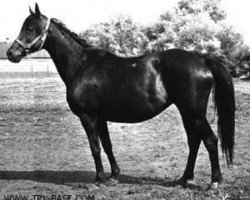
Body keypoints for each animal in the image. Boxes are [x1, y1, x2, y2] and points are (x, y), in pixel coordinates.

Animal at [6, 3, 235, 188]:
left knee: (210, 140)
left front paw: (99, 180)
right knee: (194, 142)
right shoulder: (100, 117)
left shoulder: (88, 117)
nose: (11, 53)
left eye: (30, 28)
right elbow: (107, 146)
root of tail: (202, 59)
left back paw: (214, 182)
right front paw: (114, 176)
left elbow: (95, 147)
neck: (81, 64)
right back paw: (184, 179)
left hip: (194, 113)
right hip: (187, 113)